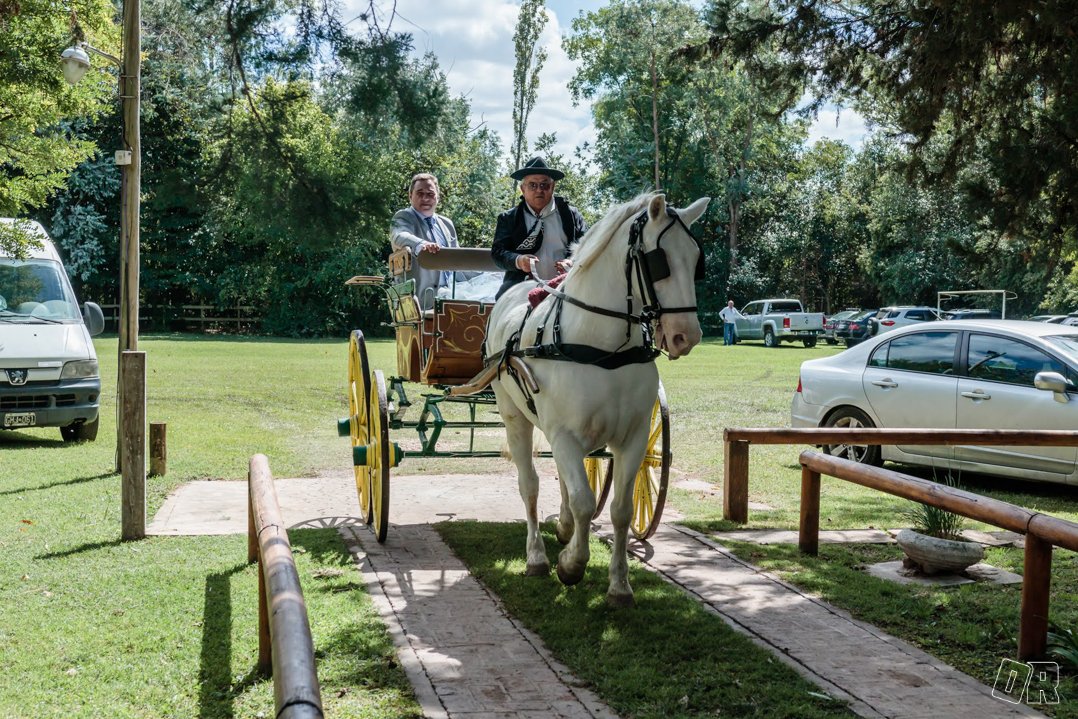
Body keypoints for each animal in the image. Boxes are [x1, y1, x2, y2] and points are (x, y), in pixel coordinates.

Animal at [487, 192, 707, 607]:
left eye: (696, 259)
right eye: (658, 261)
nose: (687, 336)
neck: (603, 347)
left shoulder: (633, 438)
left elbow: (619, 509)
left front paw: (619, 585)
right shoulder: (565, 436)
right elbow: (585, 502)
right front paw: (571, 565)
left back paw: (564, 528)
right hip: (514, 417)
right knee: (530, 484)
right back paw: (537, 556)